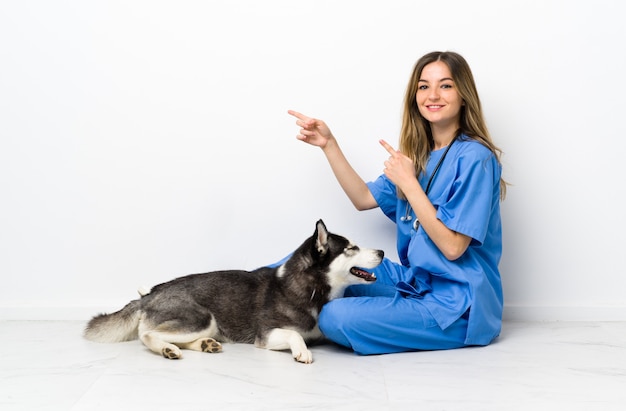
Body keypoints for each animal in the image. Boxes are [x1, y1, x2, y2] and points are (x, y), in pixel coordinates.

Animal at [84, 220, 380, 366]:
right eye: (351, 248)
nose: (382, 251)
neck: (311, 290)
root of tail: (149, 294)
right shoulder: (266, 335)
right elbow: (294, 334)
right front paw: (302, 351)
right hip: (201, 317)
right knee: (147, 335)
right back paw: (168, 349)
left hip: (208, 325)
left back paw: (205, 345)